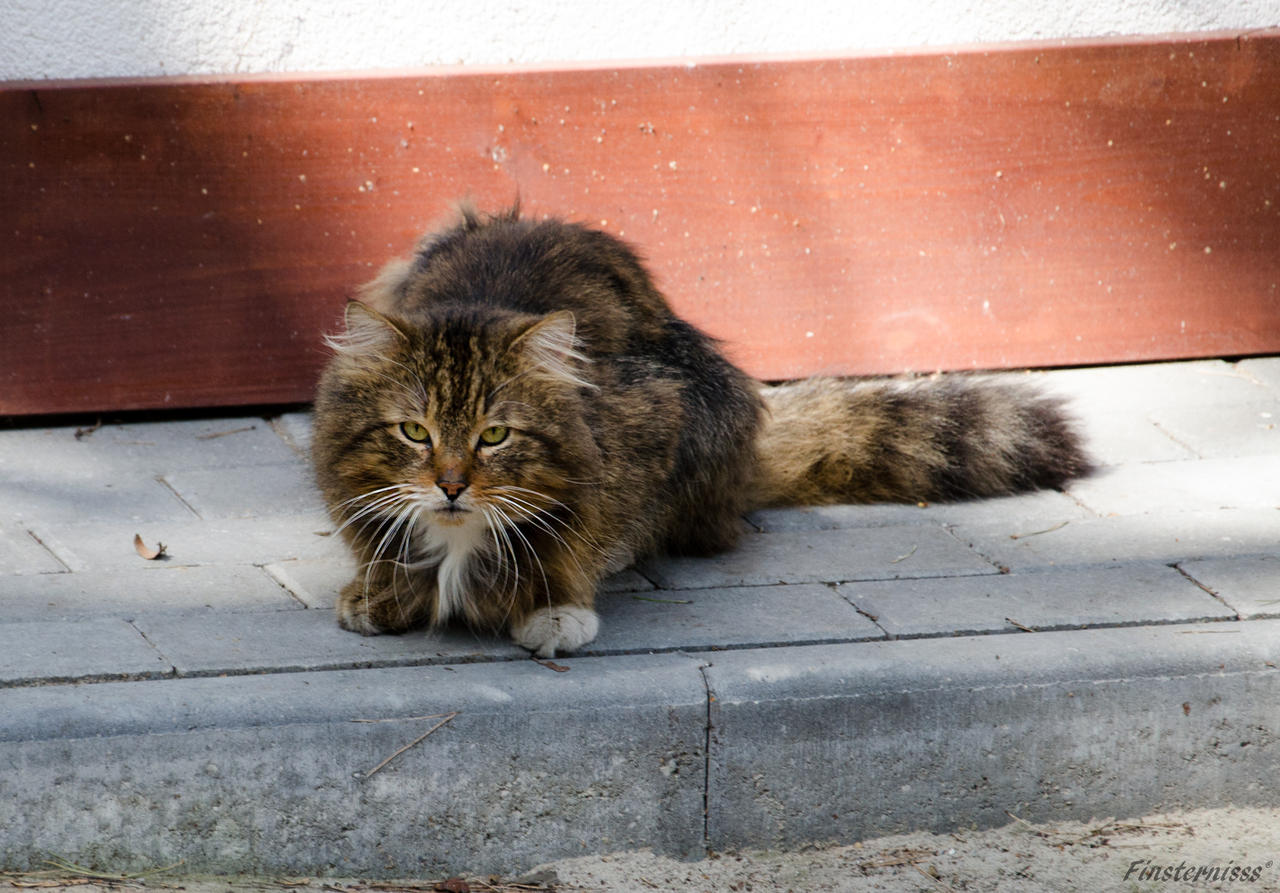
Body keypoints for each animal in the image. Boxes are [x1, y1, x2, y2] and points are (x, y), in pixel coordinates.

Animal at [312, 207, 1090, 655]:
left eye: (495, 437)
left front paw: (555, 605)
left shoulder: (654, 416)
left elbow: (581, 534)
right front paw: (382, 588)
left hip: (708, 407)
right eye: (414, 432)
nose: (449, 485)